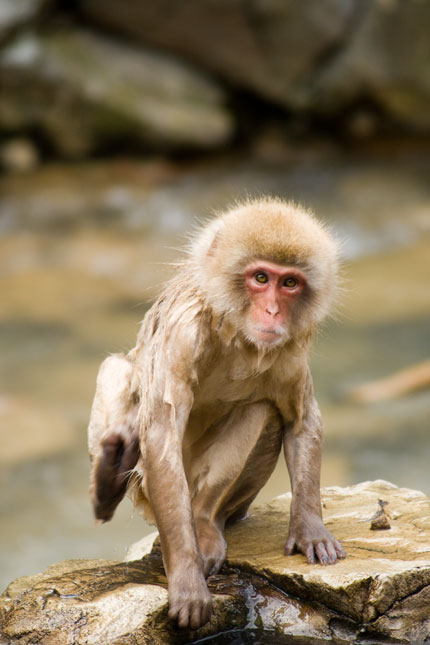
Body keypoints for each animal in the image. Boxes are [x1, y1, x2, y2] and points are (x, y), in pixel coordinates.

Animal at [87, 197, 346, 628]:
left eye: (289, 284)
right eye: (261, 278)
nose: (272, 311)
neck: (237, 332)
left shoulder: (289, 347)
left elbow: (301, 419)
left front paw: (310, 526)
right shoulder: (183, 332)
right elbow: (161, 435)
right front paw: (186, 579)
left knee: (262, 409)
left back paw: (205, 522)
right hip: (146, 493)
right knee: (119, 367)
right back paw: (111, 472)